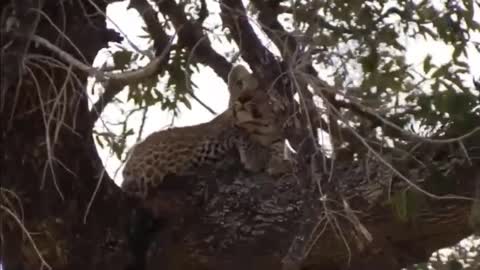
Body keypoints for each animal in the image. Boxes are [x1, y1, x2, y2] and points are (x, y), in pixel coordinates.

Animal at [122, 64, 286, 197]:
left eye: (262, 89)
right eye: (240, 84)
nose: (242, 99)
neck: (262, 126)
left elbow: (278, 145)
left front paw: (278, 163)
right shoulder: (207, 145)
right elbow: (239, 132)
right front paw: (256, 158)